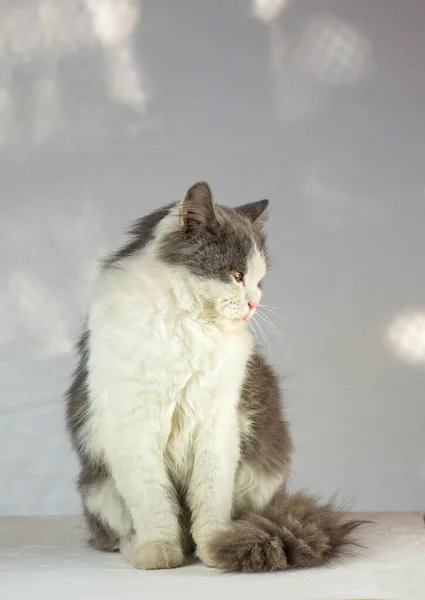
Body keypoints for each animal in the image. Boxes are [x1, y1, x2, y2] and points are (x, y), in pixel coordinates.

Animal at [65, 179, 362, 572]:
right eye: (236, 275)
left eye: (259, 282)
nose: (254, 304)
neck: (187, 324)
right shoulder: (134, 428)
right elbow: (154, 502)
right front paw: (160, 551)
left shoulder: (217, 424)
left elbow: (210, 498)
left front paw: (217, 547)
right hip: (98, 491)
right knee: (115, 534)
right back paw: (137, 546)